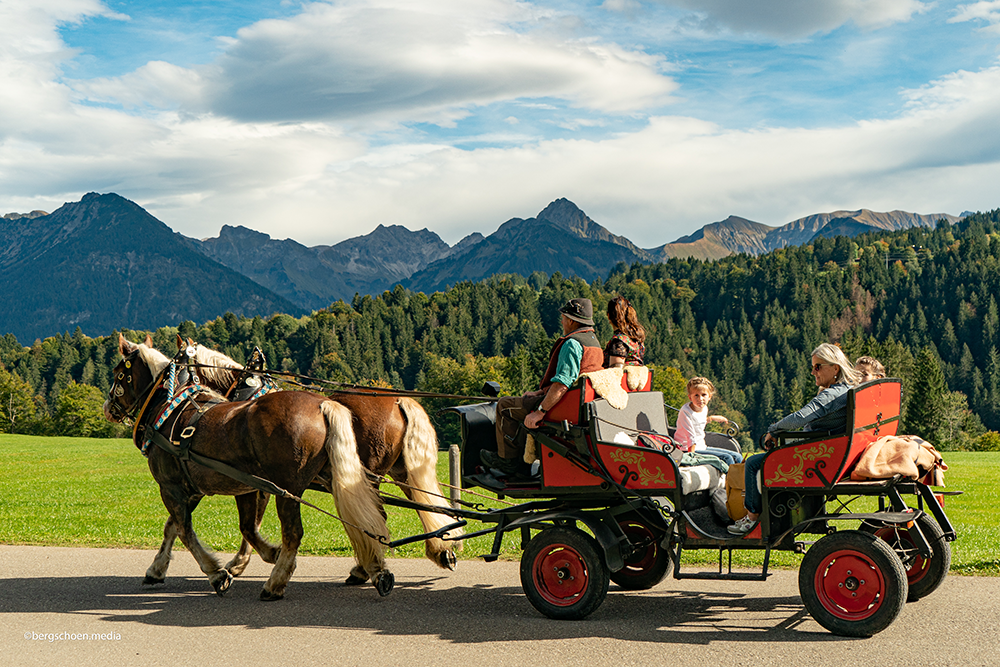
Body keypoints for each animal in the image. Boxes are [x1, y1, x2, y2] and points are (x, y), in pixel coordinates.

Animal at [103, 336, 394, 604]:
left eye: (119, 374)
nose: (108, 408)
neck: (172, 407)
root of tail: (323, 405)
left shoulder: (171, 486)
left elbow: (187, 530)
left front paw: (219, 573)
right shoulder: (216, 488)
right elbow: (186, 527)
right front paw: (157, 569)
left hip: (289, 489)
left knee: (295, 533)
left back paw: (275, 584)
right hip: (340, 476)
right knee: (364, 517)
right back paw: (376, 570)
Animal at [182, 340, 458, 584]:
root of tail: (399, 400)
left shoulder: (260, 483)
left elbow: (249, 526)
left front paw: (239, 563)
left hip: (371, 475)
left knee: (377, 515)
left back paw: (363, 569)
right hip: (399, 471)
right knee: (424, 503)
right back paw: (440, 551)